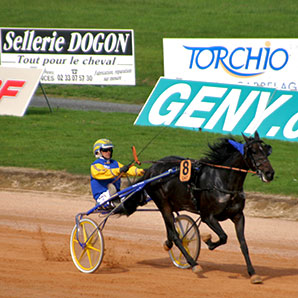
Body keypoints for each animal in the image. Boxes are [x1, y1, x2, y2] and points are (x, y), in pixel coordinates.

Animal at [123, 132, 274, 284]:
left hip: (172, 204)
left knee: (171, 229)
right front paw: (208, 240)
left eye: (266, 151)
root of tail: (150, 170)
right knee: (176, 236)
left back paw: (168, 244)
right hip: (163, 203)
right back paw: (194, 264)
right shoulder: (208, 216)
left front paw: (253, 273)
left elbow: (243, 244)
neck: (221, 181)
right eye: (253, 151)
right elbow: (223, 236)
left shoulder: (238, 216)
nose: (269, 173)